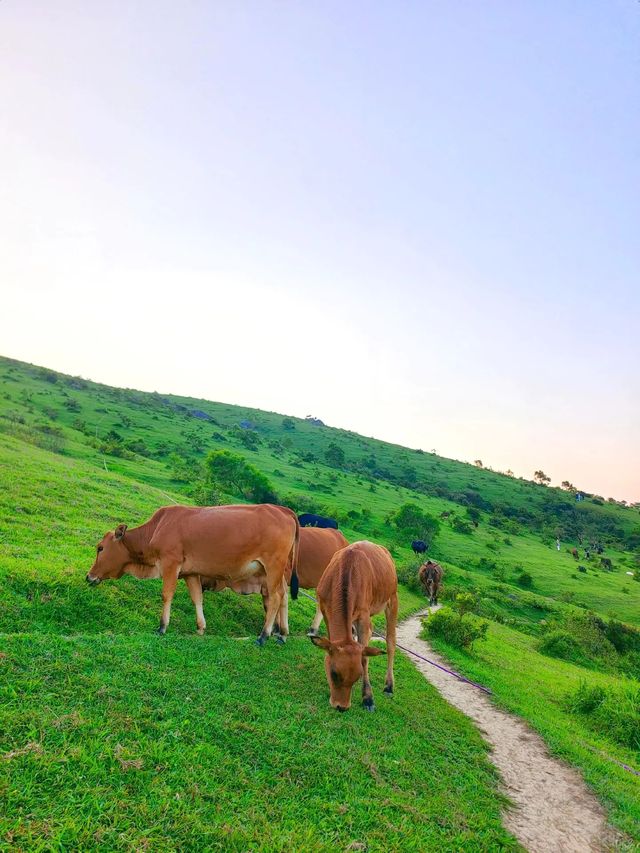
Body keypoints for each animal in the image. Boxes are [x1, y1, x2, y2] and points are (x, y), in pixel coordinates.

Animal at [308, 540, 396, 712]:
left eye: (358, 676)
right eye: (334, 673)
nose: (341, 706)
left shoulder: (363, 615)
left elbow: (364, 658)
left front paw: (368, 698)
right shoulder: (325, 609)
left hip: (392, 599)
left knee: (390, 642)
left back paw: (389, 686)